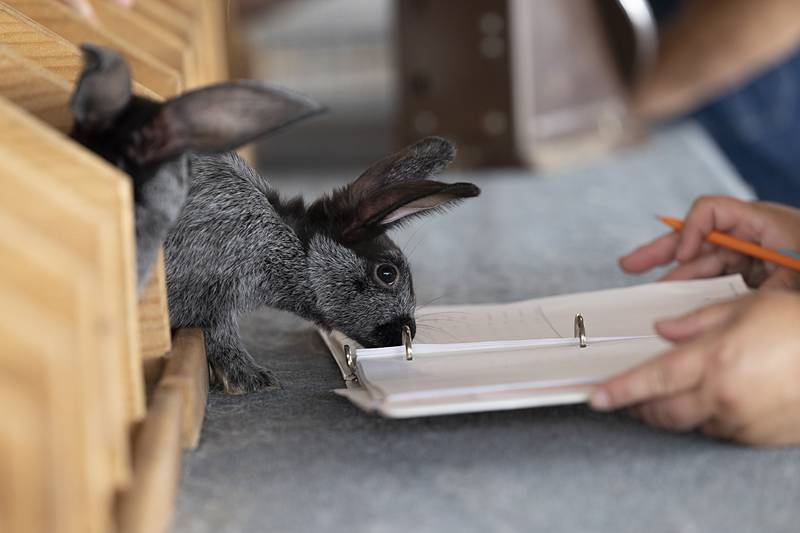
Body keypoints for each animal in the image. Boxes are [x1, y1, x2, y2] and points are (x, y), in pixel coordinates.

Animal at [69, 45, 478, 392]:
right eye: (387, 274)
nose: (408, 331)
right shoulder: (214, 294)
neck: (289, 244)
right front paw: (252, 379)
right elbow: (219, 334)